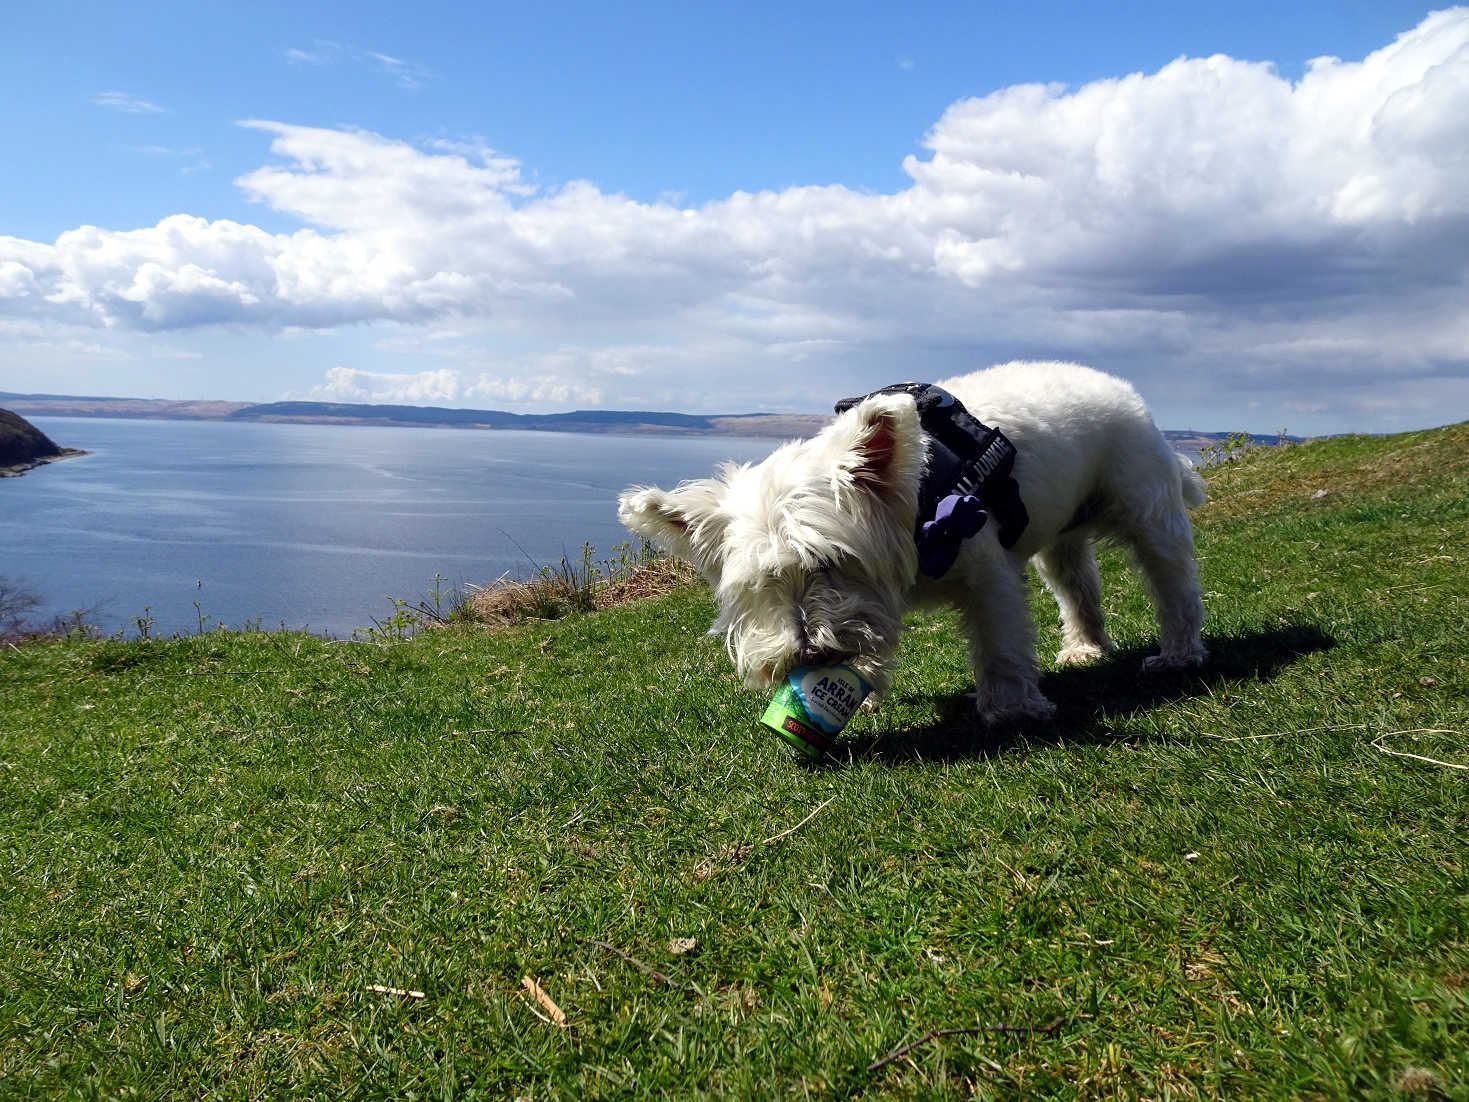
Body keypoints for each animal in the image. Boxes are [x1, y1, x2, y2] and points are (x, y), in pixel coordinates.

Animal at [614, 362, 1198, 725]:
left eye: (831, 561)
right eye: (760, 584)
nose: (808, 652)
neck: (910, 506)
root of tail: (1119, 387)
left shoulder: (988, 573)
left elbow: (1001, 641)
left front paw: (1011, 708)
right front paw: (854, 689)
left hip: (1148, 508)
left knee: (1174, 584)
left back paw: (1178, 654)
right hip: (1062, 538)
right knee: (1078, 585)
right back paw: (1085, 646)